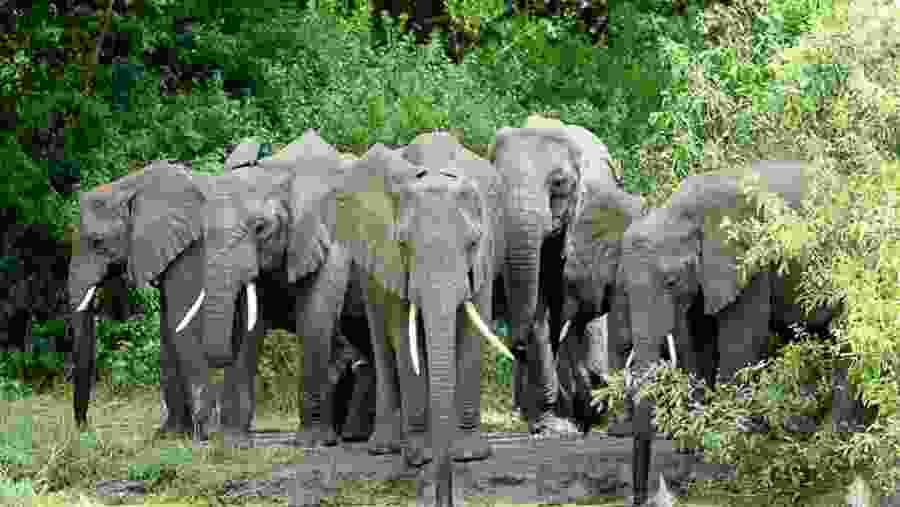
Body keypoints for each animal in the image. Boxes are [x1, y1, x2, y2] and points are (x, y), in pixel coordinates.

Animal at [616, 160, 861, 504]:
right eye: (623, 288)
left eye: (671, 282)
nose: (639, 498)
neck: (679, 212)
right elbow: (698, 350)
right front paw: (693, 464)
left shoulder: (749, 262)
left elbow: (738, 346)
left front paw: (718, 470)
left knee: (847, 339)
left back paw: (832, 442)